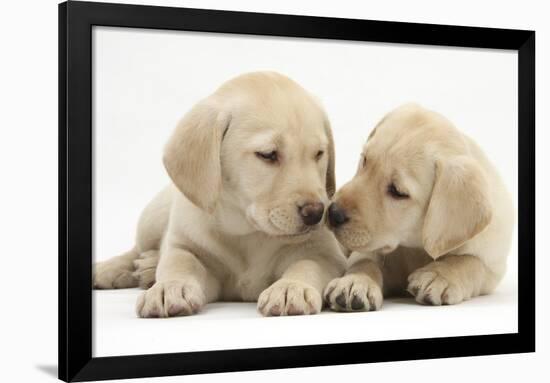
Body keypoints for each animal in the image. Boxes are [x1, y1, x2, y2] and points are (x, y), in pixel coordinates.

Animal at [92, 71, 348, 318]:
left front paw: (290, 288)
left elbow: (307, 264)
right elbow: (180, 263)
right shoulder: (186, 246)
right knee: (136, 249)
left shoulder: (324, 253)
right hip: (152, 218)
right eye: (267, 154)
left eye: (319, 154)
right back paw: (113, 268)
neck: (246, 231)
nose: (317, 213)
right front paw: (170, 287)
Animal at [326, 104, 516, 312]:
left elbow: (470, 262)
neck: (415, 245)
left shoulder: (492, 267)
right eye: (365, 160)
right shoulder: (370, 250)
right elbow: (365, 261)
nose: (333, 213)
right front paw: (356, 282)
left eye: (397, 191)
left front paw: (440, 275)